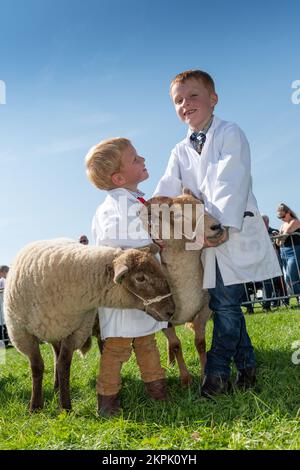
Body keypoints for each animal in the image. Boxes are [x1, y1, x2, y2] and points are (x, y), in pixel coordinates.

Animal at [4, 239, 173, 412]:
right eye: (140, 278)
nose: (171, 311)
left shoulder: (78, 330)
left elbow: (64, 365)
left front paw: (65, 407)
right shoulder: (21, 334)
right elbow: (37, 367)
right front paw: (35, 406)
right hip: (53, 330)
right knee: (56, 356)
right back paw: (56, 386)